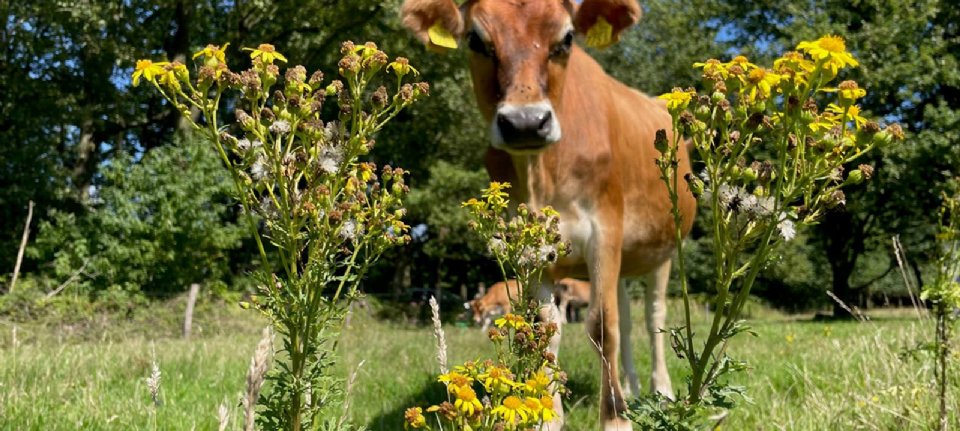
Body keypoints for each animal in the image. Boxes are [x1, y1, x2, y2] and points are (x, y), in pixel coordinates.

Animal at [402, 1, 692, 430]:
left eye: (566, 38)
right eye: (476, 40)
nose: (525, 123)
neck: (541, 177)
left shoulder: (604, 230)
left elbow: (602, 327)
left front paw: (615, 418)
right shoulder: (529, 251)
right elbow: (545, 331)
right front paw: (546, 416)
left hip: (663, 249)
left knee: (651, 315)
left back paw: (660, 391)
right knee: (624, 312)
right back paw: (631, 387)